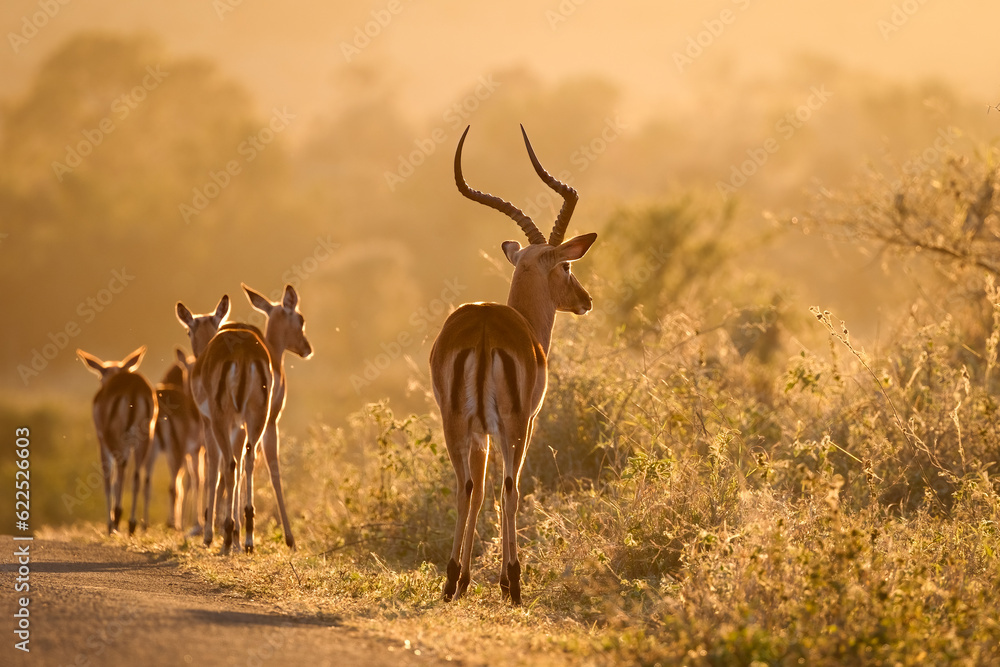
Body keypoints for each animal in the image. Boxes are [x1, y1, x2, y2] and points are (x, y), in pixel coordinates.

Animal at [77, 346, 159, 535]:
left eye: (100, 376)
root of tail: (134, 386)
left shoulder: (102, 440)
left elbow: (108, 478)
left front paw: (111, 523)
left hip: (120, 439)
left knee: (119, 471)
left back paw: (117, 520)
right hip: (144, 440)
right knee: (136, 475)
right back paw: (131, 524)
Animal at [430, 125, 597, 605]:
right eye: (567, 265)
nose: (586, 300)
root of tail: (486, 327)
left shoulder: (479, 431)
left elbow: (478, 489)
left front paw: (464, 579)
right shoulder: (524, 422)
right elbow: (506, 489)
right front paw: (505, 580)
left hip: (455, 421)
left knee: (466, 486)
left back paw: (451, 578)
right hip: (514, 424)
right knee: (509, 488)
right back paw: (514, 582)